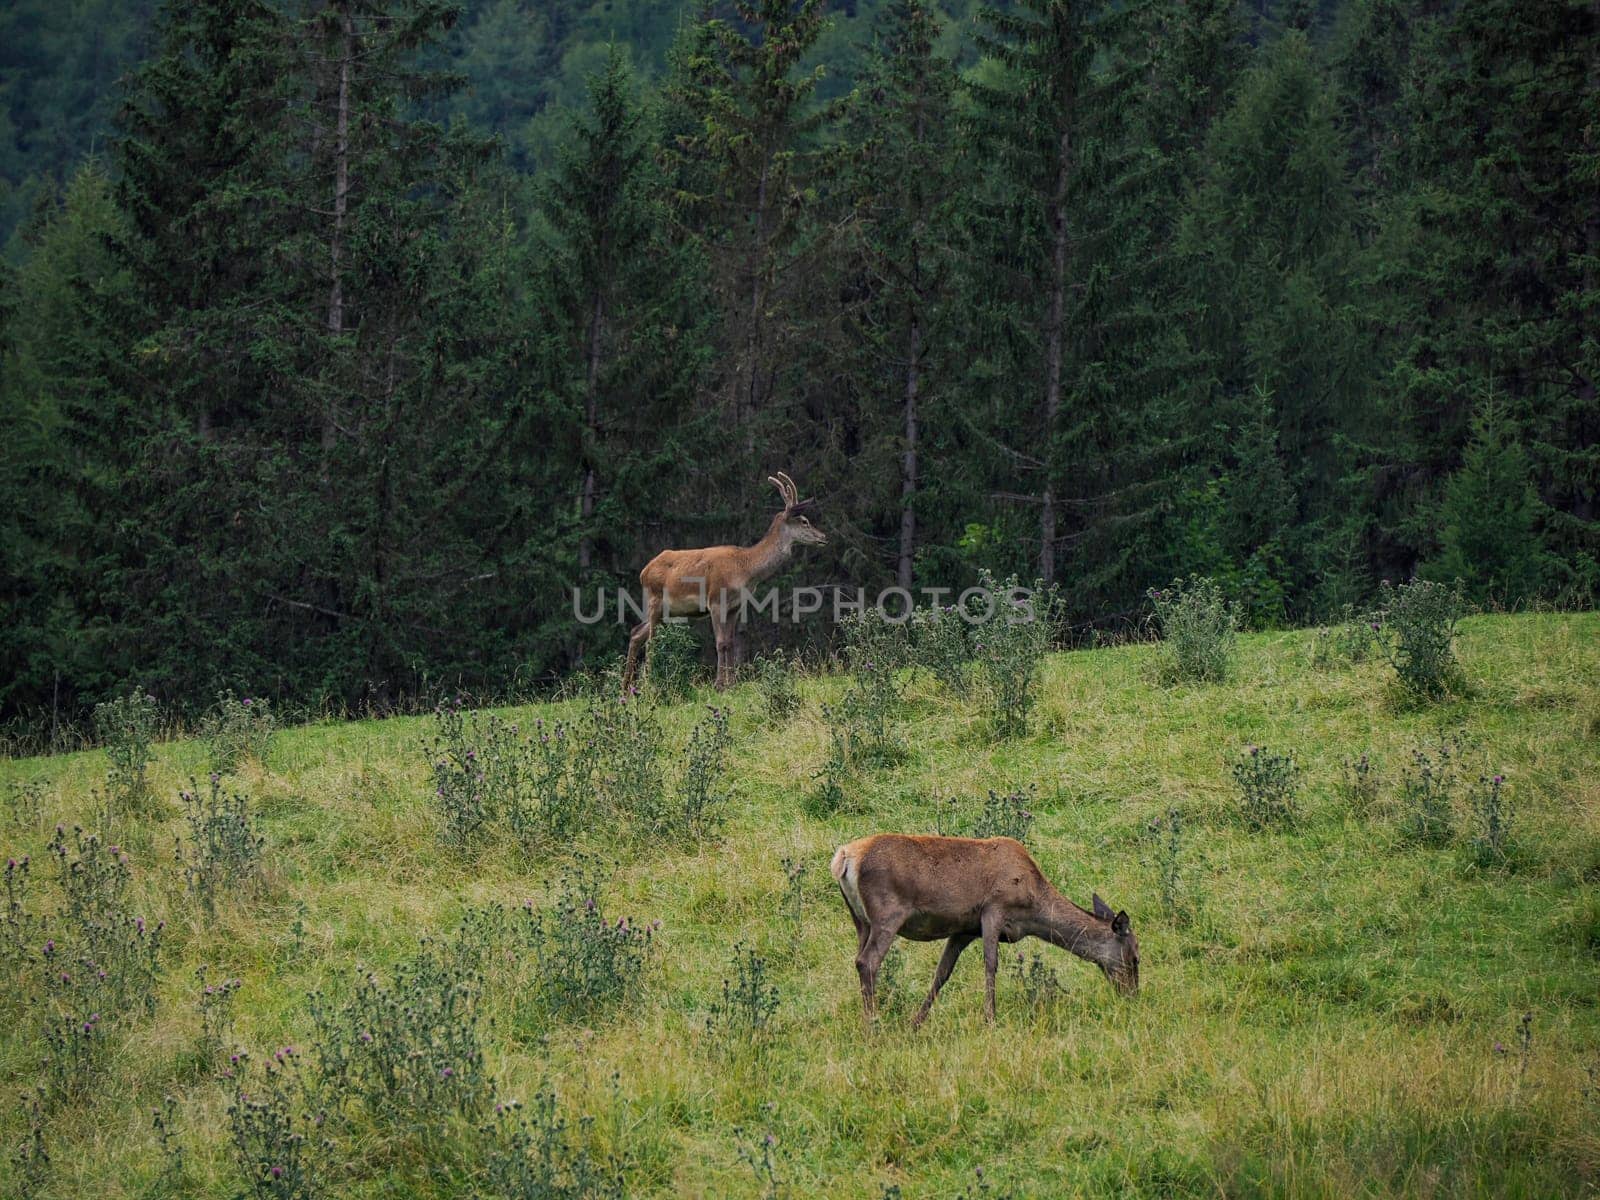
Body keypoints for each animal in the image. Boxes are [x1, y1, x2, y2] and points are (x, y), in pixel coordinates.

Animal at [620, 473, 832, 694]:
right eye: (804, 521)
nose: (824, 537)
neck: (745, 569)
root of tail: (644, 572)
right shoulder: (715, 601)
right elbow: (721, 643)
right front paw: (719, 684)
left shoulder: (735, 606)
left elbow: (730, 642)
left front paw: (732, 683)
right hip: (655, 601)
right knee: (651, 641)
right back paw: (648, 683)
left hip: (667, 611)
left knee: (636, 633)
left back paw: (626, 687)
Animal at [825, 838, 1139, 1024]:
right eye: (1136, 956)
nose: (1132, 995)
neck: (1032, 908)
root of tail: (843, 859)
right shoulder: (993, 910)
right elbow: (991, 964)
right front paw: (990, 1018)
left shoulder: (964, 929)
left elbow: (942, 973)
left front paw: (916, 1022)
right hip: (887, 915)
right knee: (867, 961)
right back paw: (873, 1023)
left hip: (860, 920)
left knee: (859, 958)